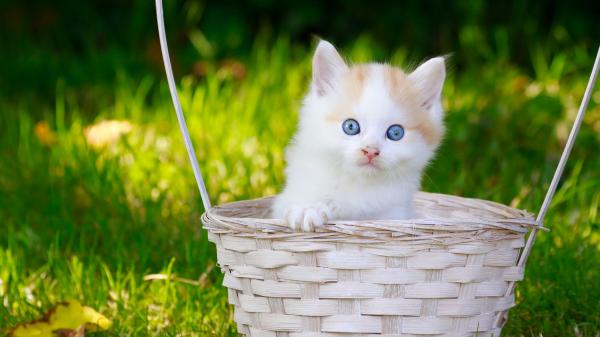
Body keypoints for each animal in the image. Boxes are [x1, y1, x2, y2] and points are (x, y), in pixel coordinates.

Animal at [272, 40, 446, 231]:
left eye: (395, 133)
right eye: (351, 127)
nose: (370, 150)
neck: (357, 184)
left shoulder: (395, 214)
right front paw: (307, 209)